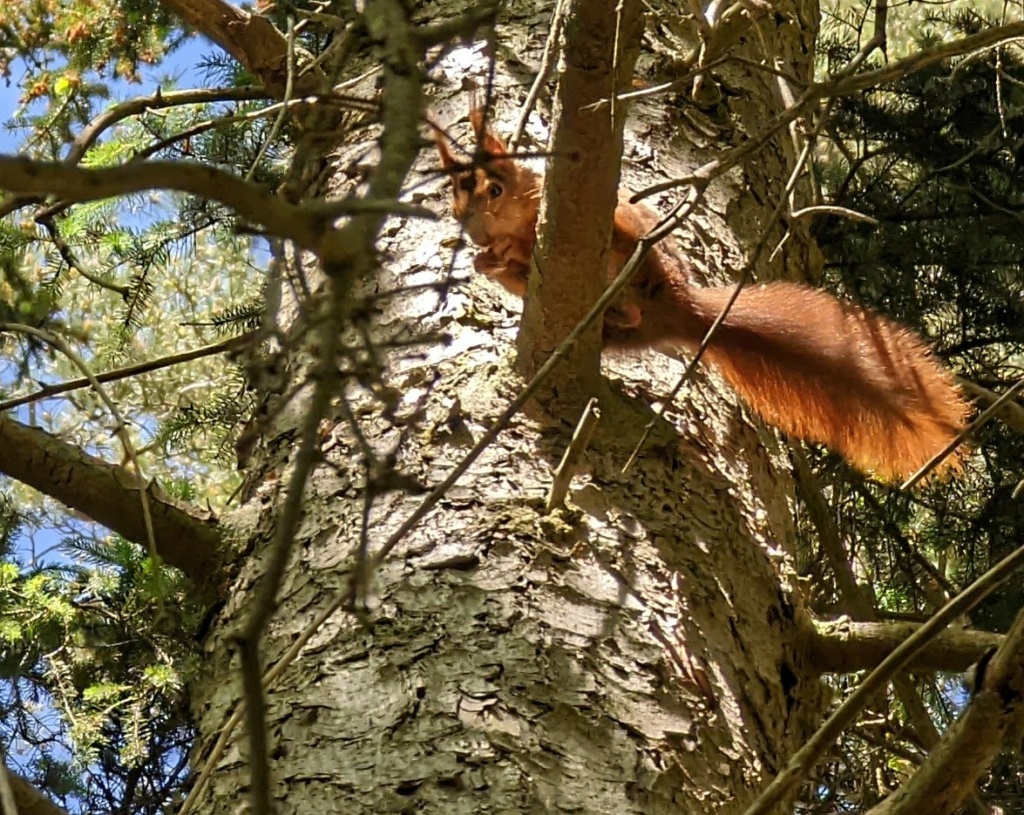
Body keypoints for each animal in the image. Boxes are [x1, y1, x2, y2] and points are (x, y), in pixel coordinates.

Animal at [430, 108, 966, 477]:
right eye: (452, 194)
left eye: (494, 190)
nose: (471, 229)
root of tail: (680, 309)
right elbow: (507, 268)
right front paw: (485, 260)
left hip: (645, 256)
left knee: (630, 252)